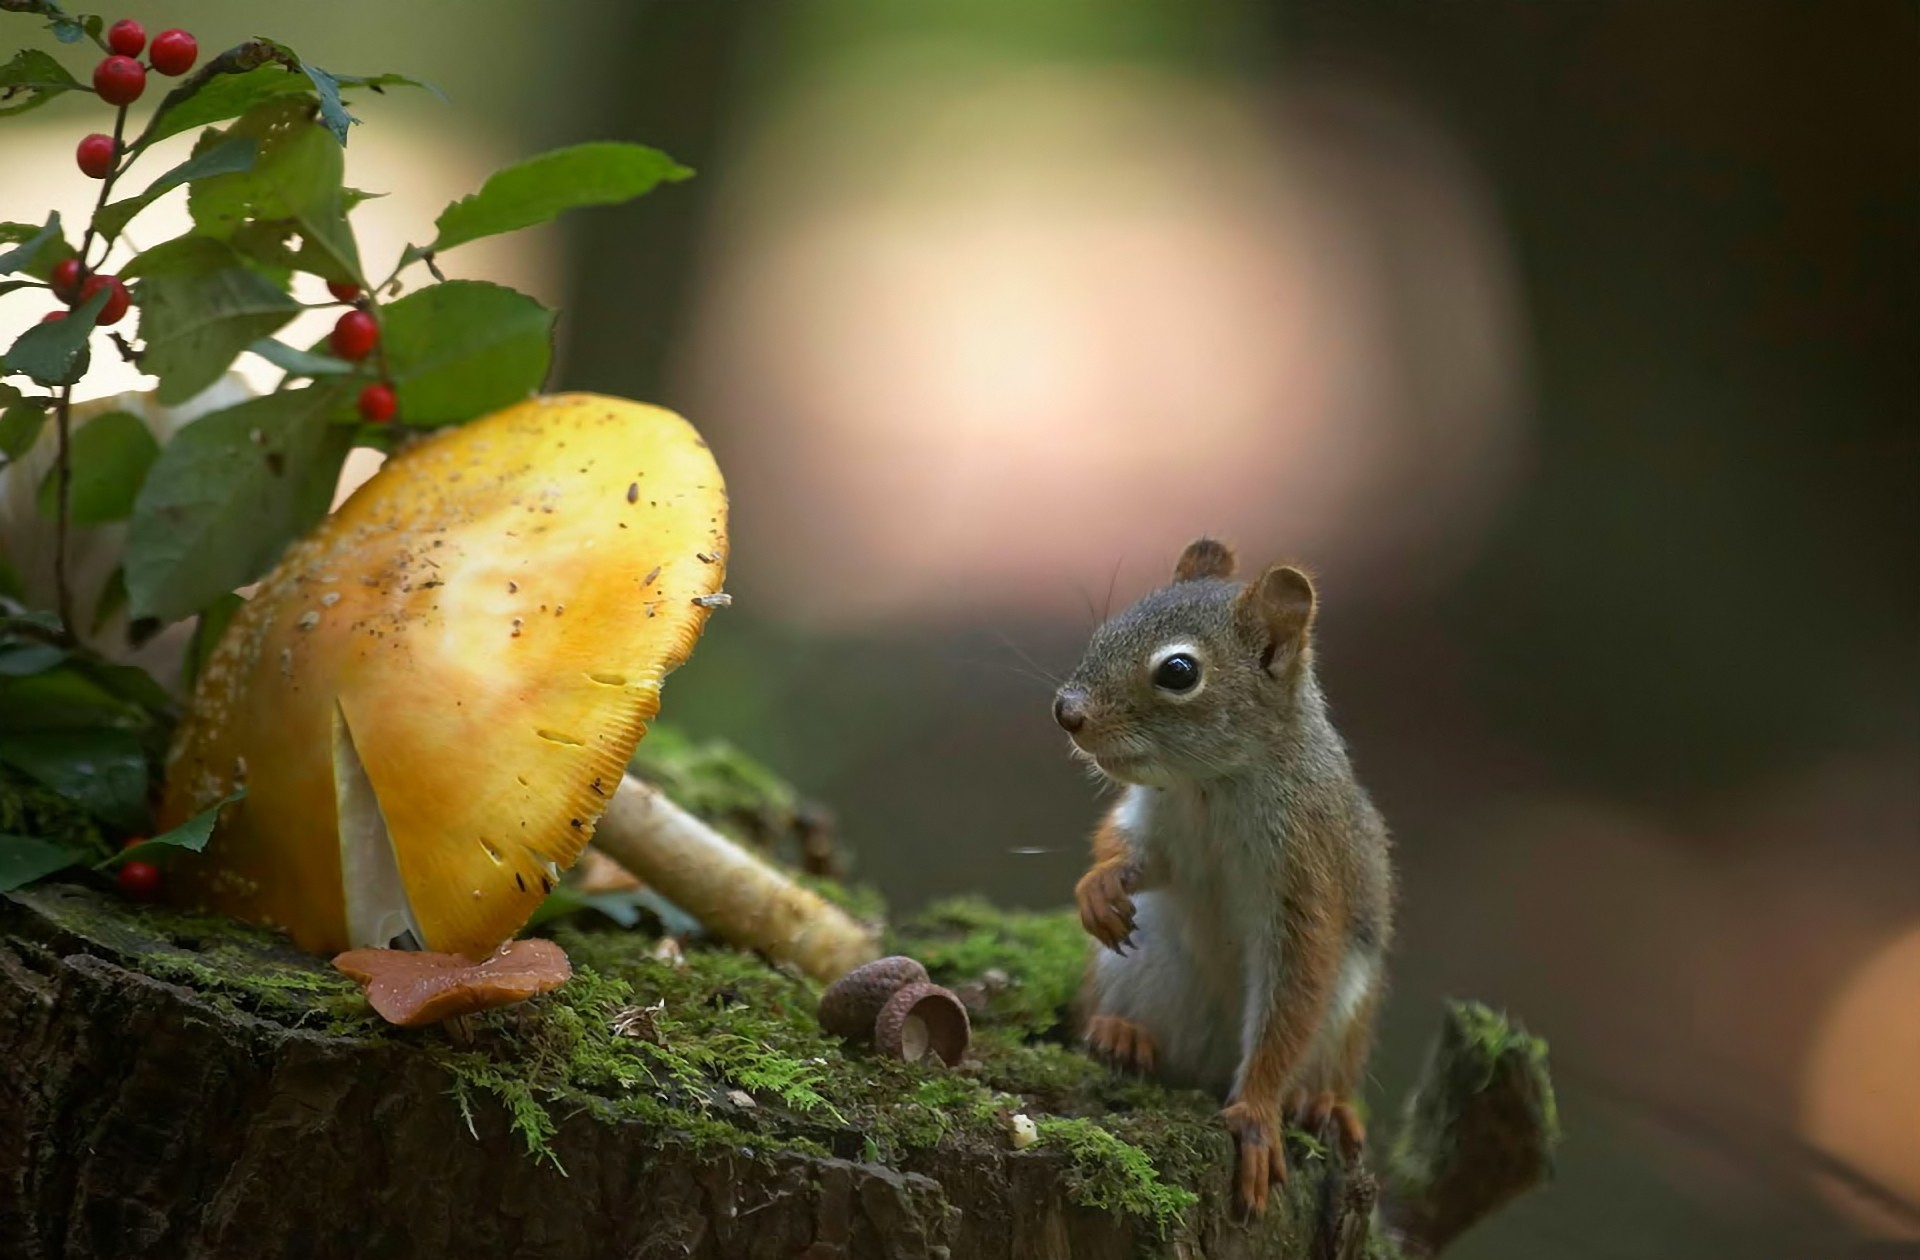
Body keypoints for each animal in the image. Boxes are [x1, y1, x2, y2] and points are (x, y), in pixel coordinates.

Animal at [1052, 537, 1397, 1213]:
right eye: (1107, 628)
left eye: (1179, 672)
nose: (1065, 712)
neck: (1207, 787)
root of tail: (1210, 1071)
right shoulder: (1153, 819)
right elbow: (1125, 848)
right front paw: (1099, 888)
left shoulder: (1306, 871)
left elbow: (1296, 984)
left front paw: (1257, 1117)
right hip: (1136, 970)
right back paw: (1120, 1033)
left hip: (1349, 1009)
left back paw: (1318, 1102)